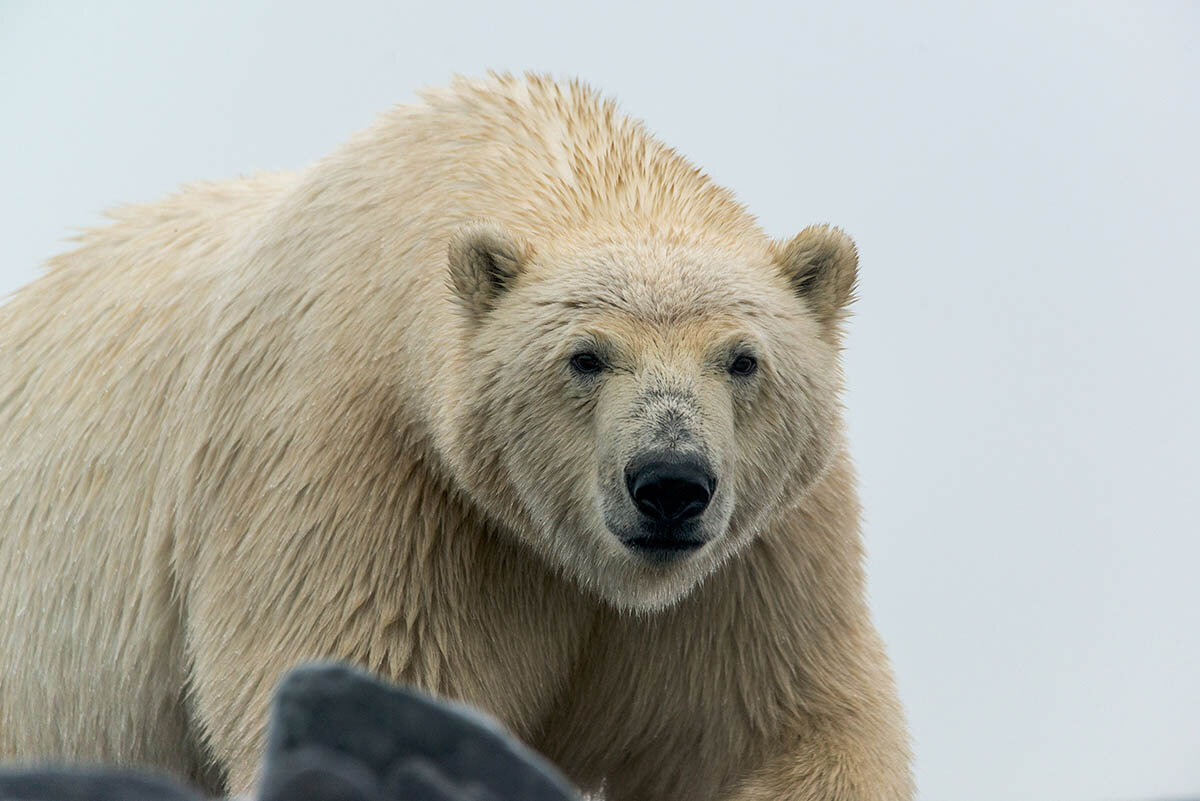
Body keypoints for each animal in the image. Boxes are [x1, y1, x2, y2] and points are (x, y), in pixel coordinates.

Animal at [0, 73, 912, 796]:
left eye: (742, 358)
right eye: (585, 355)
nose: (670, 483)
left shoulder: (754, 560)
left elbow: (782, 728)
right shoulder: (370, 466)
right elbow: (381, 671)